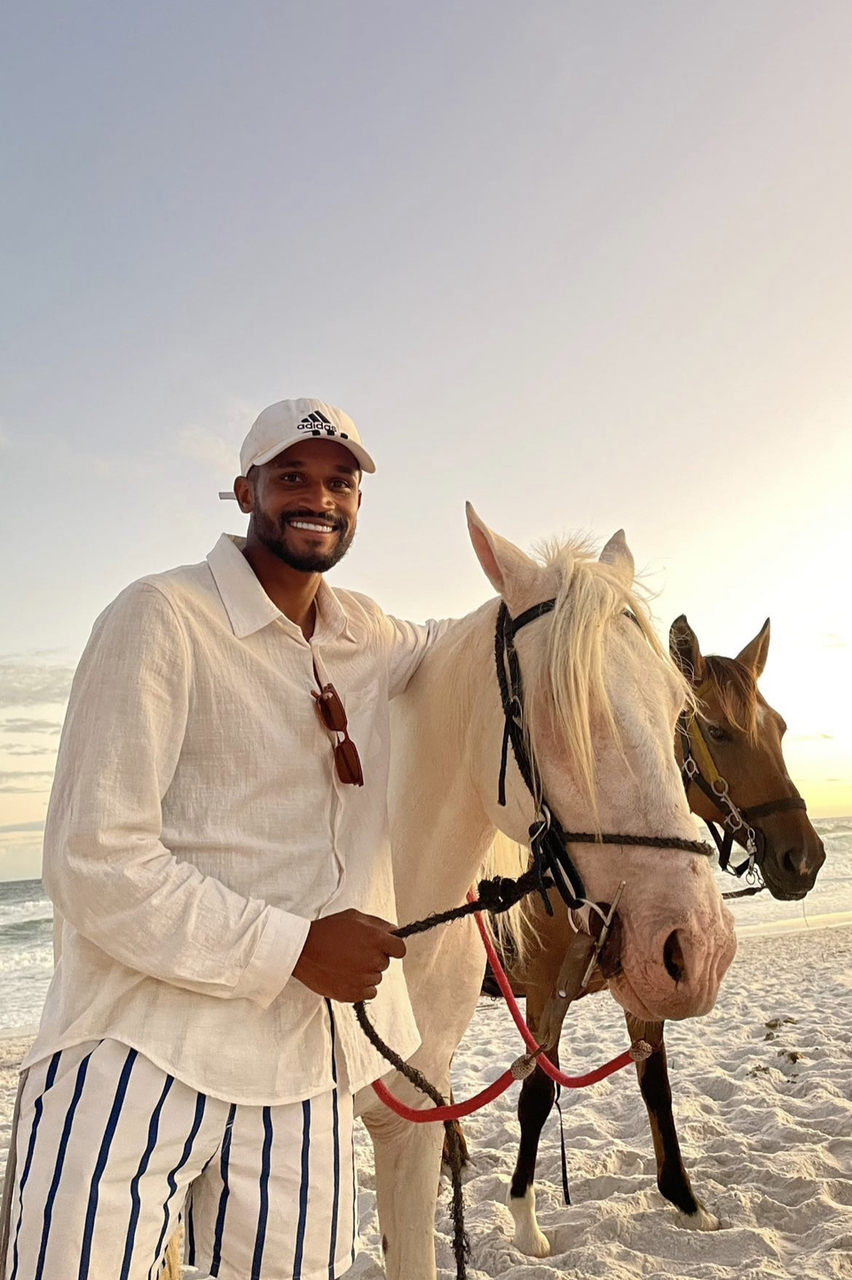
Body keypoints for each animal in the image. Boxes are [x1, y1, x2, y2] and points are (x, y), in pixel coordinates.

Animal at [498, 614, 823, 1254]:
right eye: (718, 732)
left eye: (779, 728)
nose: (805, 859)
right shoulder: (547, 992)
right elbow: (536, 1096)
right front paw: (525, 1221)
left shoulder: (648, 983)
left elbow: (657, 1085)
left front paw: (688, 1203)